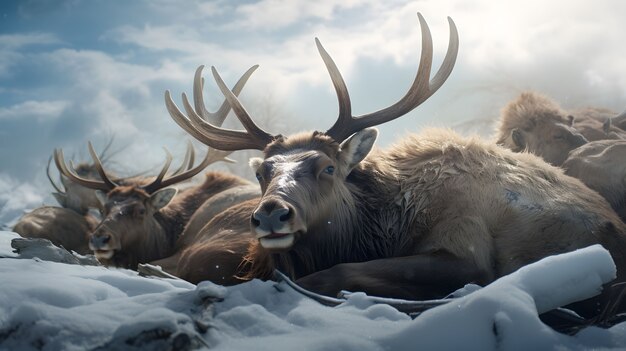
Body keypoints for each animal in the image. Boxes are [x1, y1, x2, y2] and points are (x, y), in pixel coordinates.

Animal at [163, 13, 624, 320]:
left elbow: (332, 274)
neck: (380, 226)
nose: (272, 214)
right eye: (262, 172)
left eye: (328, 167)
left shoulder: (466, 248)